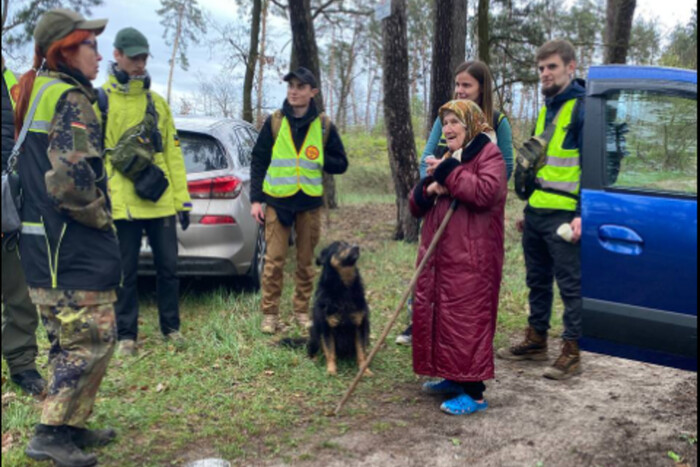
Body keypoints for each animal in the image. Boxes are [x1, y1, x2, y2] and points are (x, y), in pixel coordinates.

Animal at [308, 241, 372, 376]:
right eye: (339, 246)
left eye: (348, 243)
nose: (356, 246)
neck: (344, 288)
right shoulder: (327, 328)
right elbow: (330, 351)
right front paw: (331, 371)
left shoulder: (360, 326)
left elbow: (361, 351)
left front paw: (364, 370)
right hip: (314, 331)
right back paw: (314, 358)